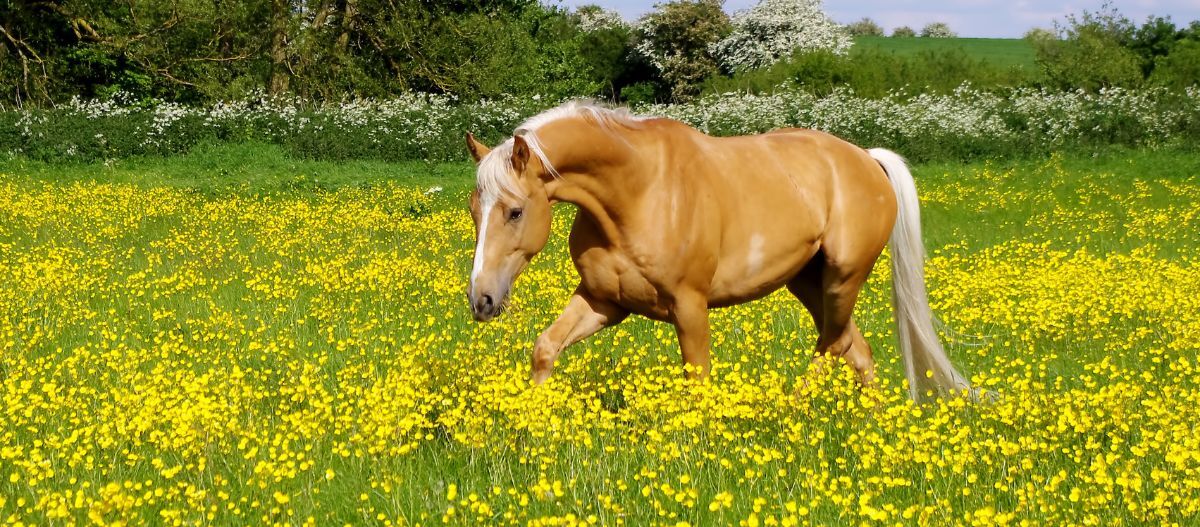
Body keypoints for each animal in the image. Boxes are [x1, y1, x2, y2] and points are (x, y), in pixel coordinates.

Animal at [465, 101, 969, 400]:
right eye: (473, 210)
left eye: (514, 211)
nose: (481, 300)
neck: (639, 191)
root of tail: (867, 159)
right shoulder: (604, 301)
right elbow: (545, 348)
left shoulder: (690, 307)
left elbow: (697, 379)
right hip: (809, 282)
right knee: (853, 347)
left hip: (844, 278)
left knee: (834, 345)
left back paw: (792, 410)